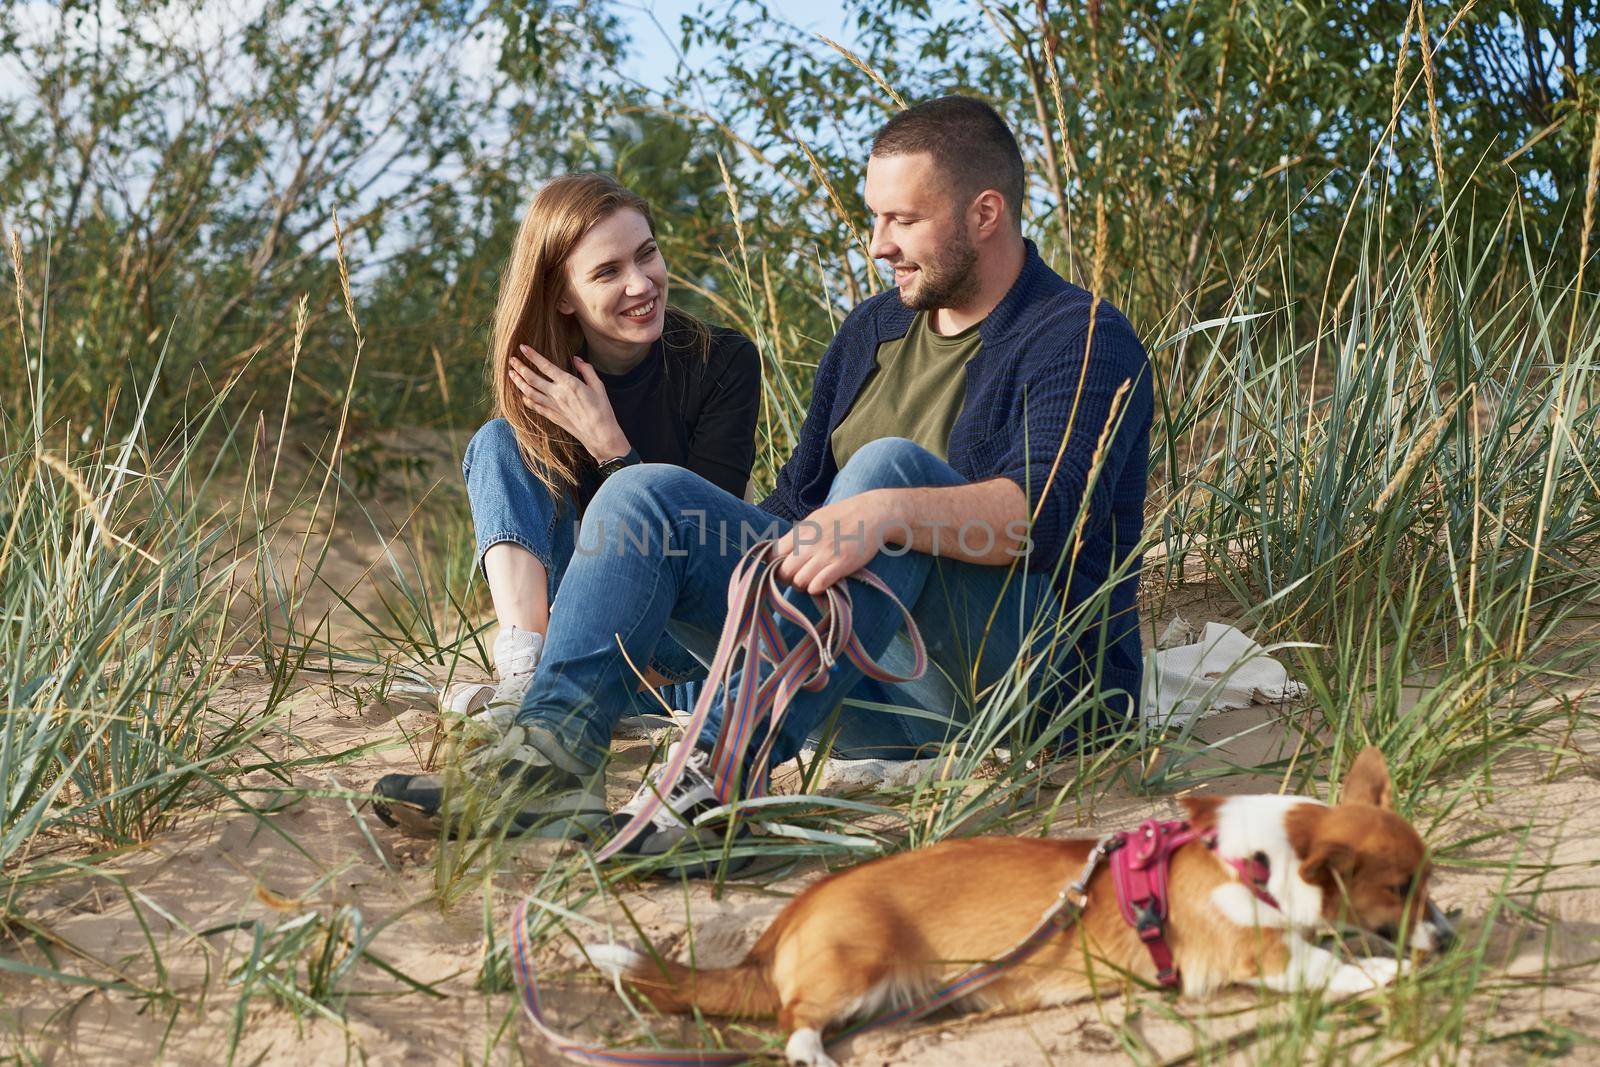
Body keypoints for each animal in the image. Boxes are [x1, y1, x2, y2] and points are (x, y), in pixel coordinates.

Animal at [588, 751, 1452, 1067]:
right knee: (793, 1022)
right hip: (855, 966)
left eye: (1430, 880)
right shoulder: (1256, 950)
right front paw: (1385, 970)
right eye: (1399, 888)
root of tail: (785, 921)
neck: (1254, 853)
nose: (1449, 939)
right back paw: (817, 1055)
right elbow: (1331, 962)